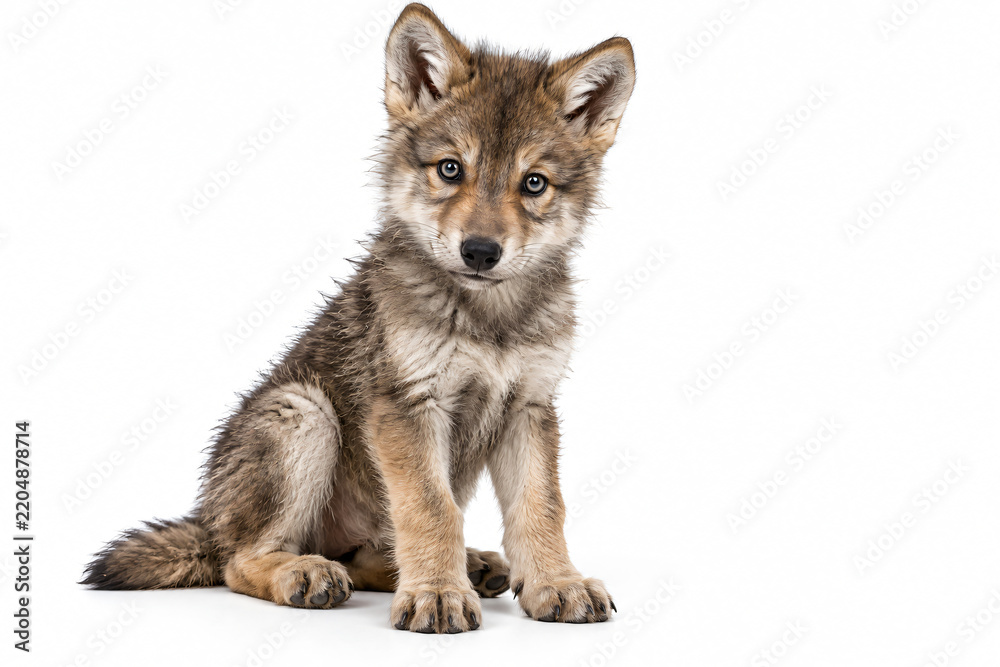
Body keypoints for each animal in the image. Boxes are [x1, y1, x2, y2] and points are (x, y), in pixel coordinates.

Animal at [83, 3, 635, 633]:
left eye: (534, 183)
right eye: (451, 169)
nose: (480, 252)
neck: (488, 317)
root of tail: (209, 520)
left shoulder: (530, 408)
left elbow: (541, 507)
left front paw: (555, 582)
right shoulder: (408, 404)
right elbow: (431, 508)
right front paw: (437, 594)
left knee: (370, 553)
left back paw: (464, 567)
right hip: (304, 412)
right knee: (238, 562)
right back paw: (305, 573)